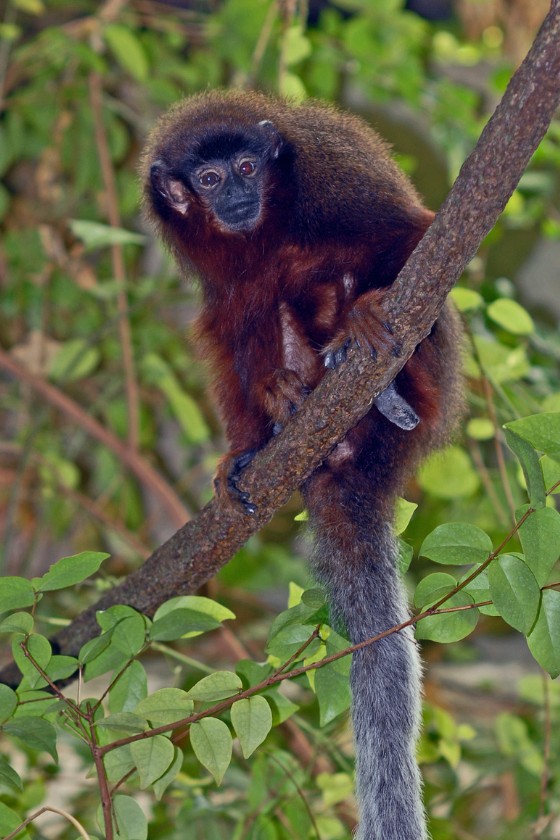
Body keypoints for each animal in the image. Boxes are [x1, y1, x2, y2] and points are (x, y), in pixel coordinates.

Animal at [143, 90, 464, 840]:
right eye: (208, 180)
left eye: (246, 167)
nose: (237, 195)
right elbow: (225, 318)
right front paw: (241, 445)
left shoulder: (332, 176)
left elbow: (413, 235)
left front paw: (369, 308)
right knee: (257, 296)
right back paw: (282, 412)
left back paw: (386, 386)